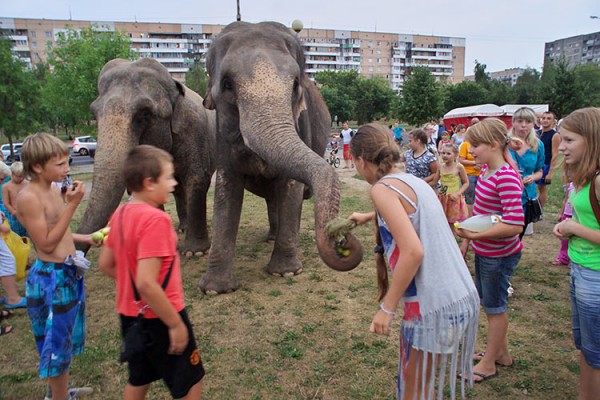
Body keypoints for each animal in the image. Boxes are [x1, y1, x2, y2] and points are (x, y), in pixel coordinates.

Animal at [77, 57, 217, 255]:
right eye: (93, 113)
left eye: (145, 113)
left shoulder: (194, 131)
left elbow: (196, 178)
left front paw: (194, 252)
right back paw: (183, 228)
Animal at [199, 21, 364, 294]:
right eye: (227, 85)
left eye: (296, 84)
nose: (342, 239)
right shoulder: (220, 133)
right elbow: (226, 189)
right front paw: (214, 289)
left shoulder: (301, 124)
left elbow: (290, 186)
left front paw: (286, 272)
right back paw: (271, 238)